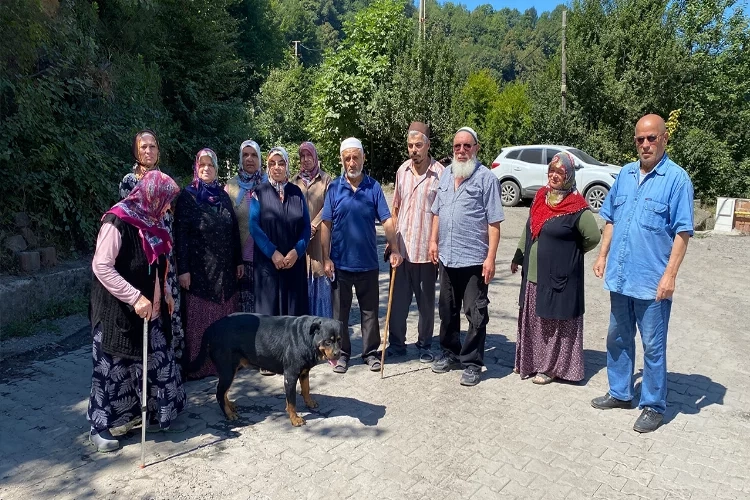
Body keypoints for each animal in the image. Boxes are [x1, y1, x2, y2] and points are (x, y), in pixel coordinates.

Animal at [188, 312, 344, 426]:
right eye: (328, 341)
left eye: (339, 339)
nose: (338, 353)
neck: (307, 338)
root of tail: (211, 328)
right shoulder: (290, 375)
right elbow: (292, 401)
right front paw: (295, 419)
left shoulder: (304, 372)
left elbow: (306, 389)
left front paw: (309, 403)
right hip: (227, 370)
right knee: (219, 393)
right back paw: (229, 414)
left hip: (231, 369)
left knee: (223, 391)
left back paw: (230, 406)